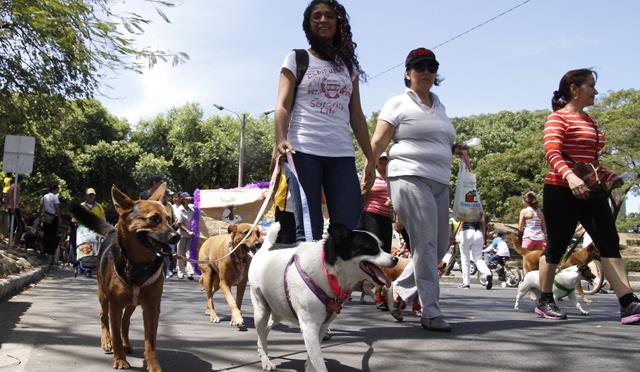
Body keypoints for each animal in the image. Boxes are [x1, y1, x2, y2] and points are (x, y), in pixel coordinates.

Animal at [71, 184, 179, 372]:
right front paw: (120, 359)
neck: (138, 264)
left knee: (125, 322)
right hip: (104, 297)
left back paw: (126, 343)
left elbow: (150, 342)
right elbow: (115, 333)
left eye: (168, 219)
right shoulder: (115, 305)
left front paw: (153, 364)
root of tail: (113, 230)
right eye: (154, 219)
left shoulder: (152, 308)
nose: (176, 236)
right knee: (103, 317)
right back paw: (107, 341)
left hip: (132, 304)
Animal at [249, 222, 396, 372]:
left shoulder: (321, 327)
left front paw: (309, 367)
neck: (329, 272)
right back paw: (265, 360)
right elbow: (319, 362)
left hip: (279, 310)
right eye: (371, 248)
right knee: (262, 330)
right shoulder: (309, 328)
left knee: (266, 330)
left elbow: (312, 358)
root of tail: (266, 247)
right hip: (261, 311)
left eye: (381, 246)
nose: (395, 259)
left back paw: (262, 350)